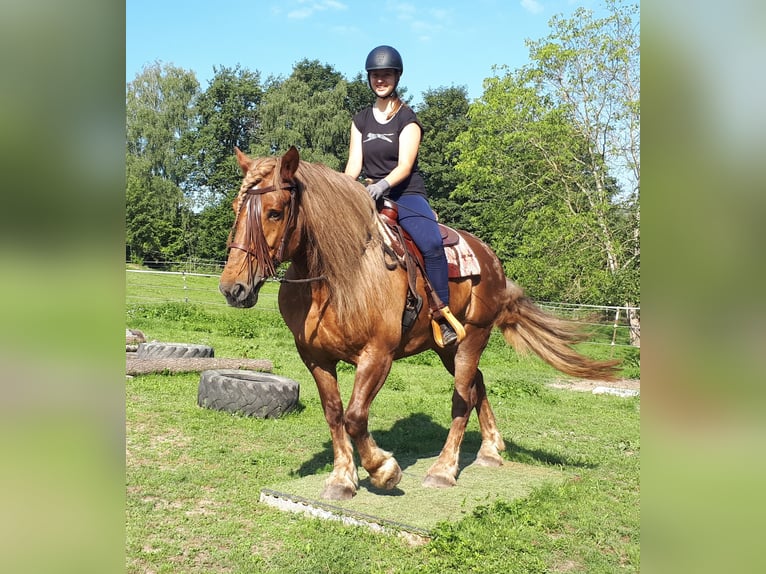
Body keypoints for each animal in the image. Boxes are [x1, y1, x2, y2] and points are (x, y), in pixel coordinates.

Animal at [219, 146, 619, 500]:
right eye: (237, 208)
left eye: (274, 212)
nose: (232, 288)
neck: (339, 276)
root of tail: (491, 260)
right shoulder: (315, 358)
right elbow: (334, 415)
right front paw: (342, 479)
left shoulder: (377, 355)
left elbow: (355, 416)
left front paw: (383, 470)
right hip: (448, 347)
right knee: (478, 384)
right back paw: (490, 450)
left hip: (474, 337)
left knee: (462, 397)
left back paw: (443, 470)